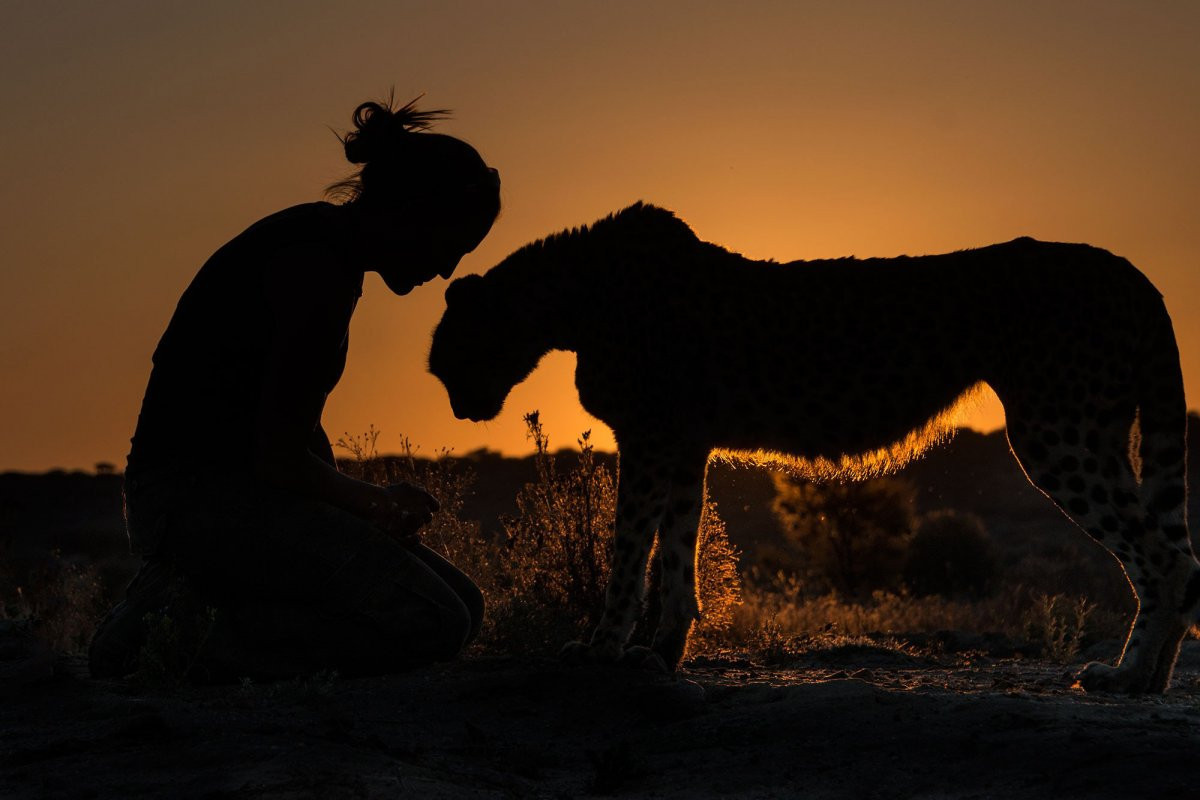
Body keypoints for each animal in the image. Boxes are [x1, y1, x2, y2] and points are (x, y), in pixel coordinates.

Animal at [427, 201, 1195, 695]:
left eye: (446, 357)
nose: (460, 409)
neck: (577, 296)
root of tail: (1127, 268)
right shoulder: (683, 444)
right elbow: (676, 552)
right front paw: (659, 652)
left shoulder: (650, 439)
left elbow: (626, 550)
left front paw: (599, 650)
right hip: (1097, 428)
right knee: (1178, 556)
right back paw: (1149, 680)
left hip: (1056, 432)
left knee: (1161, 556)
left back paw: (1127, 675)